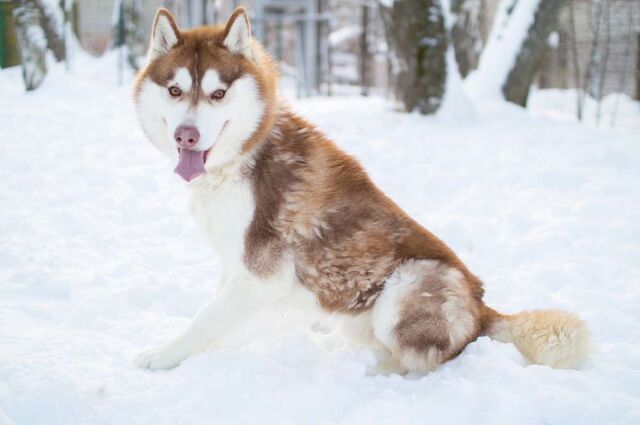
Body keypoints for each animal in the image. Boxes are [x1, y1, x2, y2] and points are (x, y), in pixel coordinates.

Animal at [132, 6, 592, 372]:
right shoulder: (236, 265)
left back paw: (376, 374)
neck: (244, 155)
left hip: (409, 285)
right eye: (175, 90)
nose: (187, 136)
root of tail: (482, 308)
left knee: (424, 362)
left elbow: (206, 318)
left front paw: (162, 355)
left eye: (218, 94)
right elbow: (221, 313)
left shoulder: (262, 273)